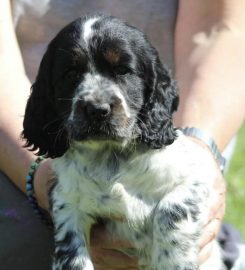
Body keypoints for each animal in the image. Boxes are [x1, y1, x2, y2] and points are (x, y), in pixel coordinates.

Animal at [22, 14, 222, 270]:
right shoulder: (67, 201)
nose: (97, 110)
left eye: (123, 71)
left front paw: (173, 261)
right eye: (70, 73)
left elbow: (171, 209)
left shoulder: (195, 180)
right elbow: (72, 255)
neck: (111, 155)